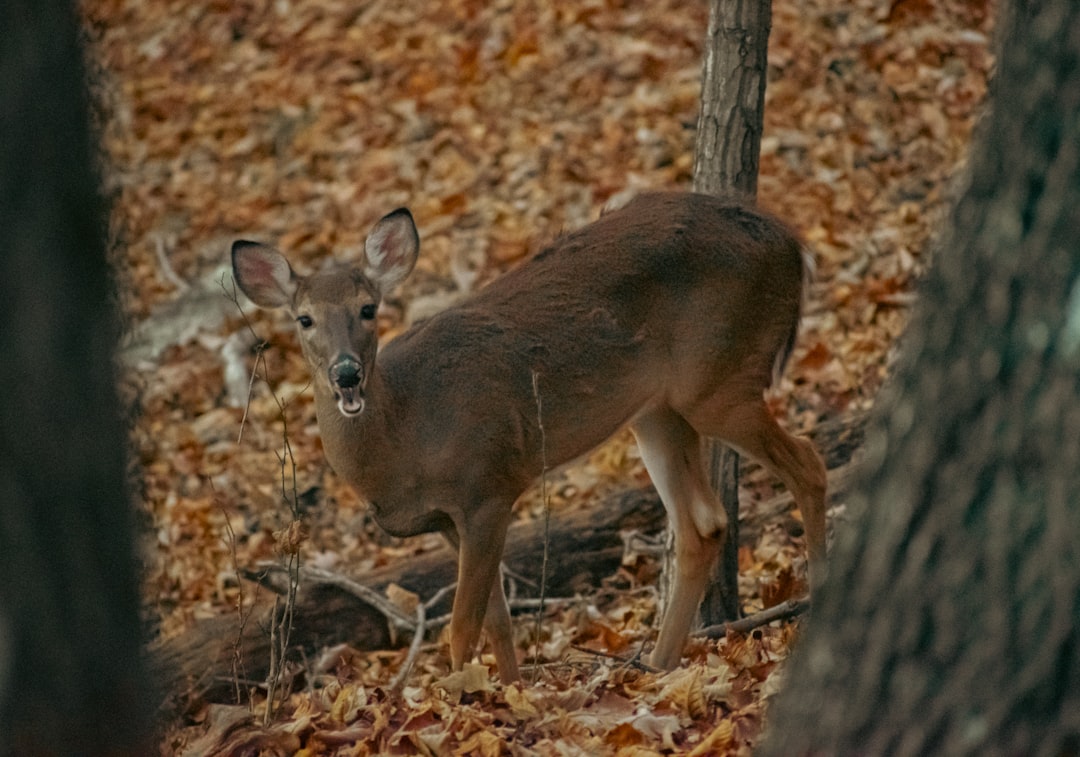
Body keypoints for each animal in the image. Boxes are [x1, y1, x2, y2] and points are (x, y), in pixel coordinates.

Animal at [232, 192, 825, 682]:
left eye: (368, 308)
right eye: (304, 318)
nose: (347, 374)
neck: (406, 435)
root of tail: (793, 246)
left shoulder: (488, 485)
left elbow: (464, 624)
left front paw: (457, 704)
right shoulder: (449, 519)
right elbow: (496, 619)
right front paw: (510, 693)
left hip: (720, 378)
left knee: (808, 464)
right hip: (657, 410)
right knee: (704, 523)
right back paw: (657, 666)